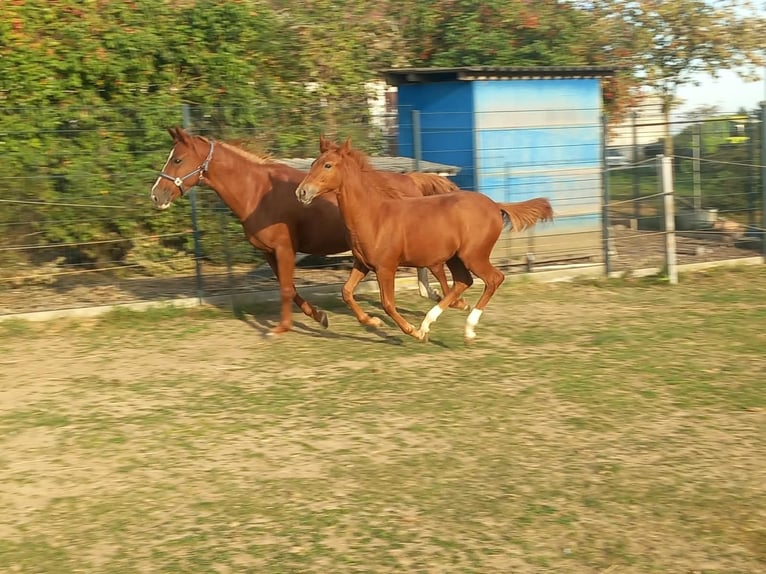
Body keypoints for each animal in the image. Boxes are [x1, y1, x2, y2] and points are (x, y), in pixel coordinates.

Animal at [150, 126, 462, 335]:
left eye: (177, 159)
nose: (156, 195)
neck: (257, 193)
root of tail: (413, 179)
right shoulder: (269, 252)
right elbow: (288, 286)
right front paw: (320, 316)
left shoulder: (284, 248)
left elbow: (287, 288)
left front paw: (281, 328)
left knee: (437, 269)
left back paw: (448, 301)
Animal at [295, 138, 554, 343]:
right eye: (313, 163)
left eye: (328, 165)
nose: (301, 192)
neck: (374, 215)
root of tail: (494, 205)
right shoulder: (362, 264)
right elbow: (346, 292)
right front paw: (371, 321)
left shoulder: (386, 267)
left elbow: (387, 303)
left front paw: (412, 332)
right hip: (455, 258)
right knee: (463, 282)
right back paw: (432, 321)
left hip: (474, 255)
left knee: (494, 279)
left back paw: (465, 329)